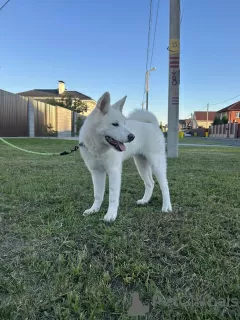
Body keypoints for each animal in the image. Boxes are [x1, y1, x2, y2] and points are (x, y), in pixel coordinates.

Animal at [79, 91, 172, 221]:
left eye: (124, 124)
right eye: (115, 124)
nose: (132, 137)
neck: (99, 148)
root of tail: (153, 125)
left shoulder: (114, 171)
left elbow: (112, 196)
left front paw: (111, 215)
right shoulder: (96, 172)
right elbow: (98, 194)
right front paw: (94, 210)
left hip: (156, 164)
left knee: (164, 186)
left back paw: (167, 207)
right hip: (141, 165)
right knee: (150, 183)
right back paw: (145, 200)